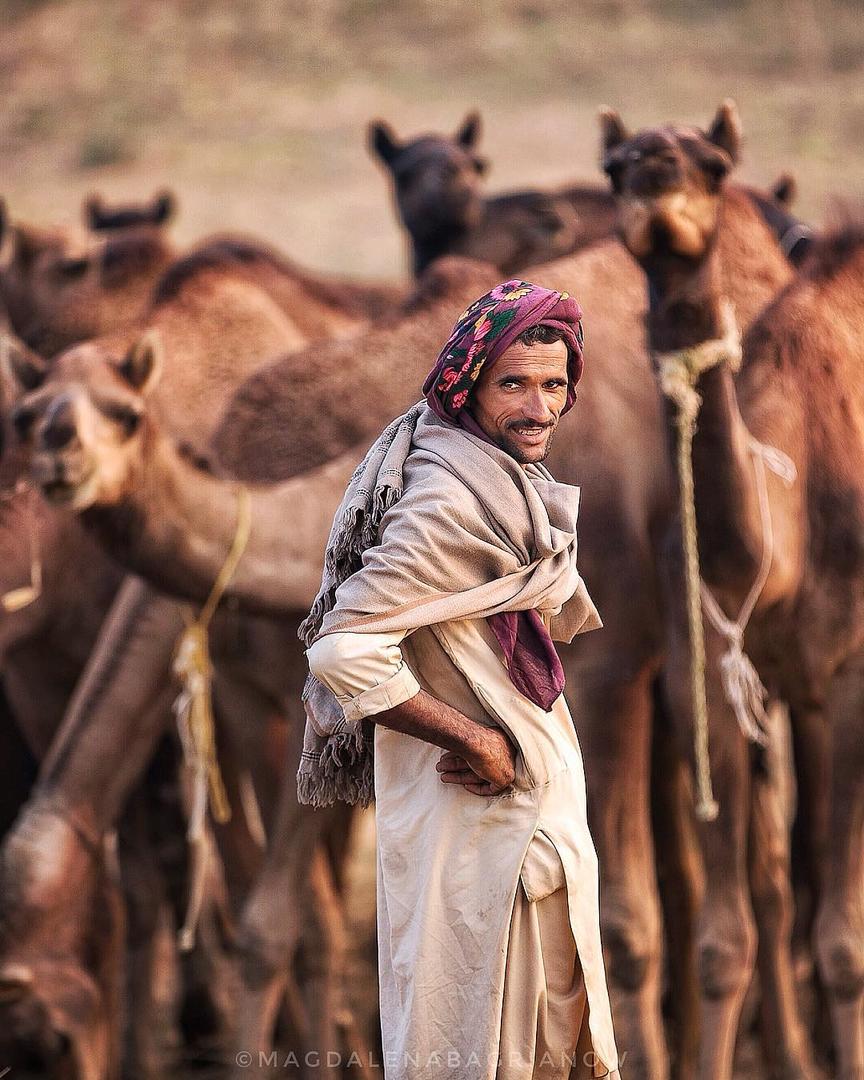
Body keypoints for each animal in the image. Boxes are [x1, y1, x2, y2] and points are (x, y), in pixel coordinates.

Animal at [600, 101, 864, 1080]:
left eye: (711, 164)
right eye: (615, 166)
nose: (656, 181)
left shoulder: (850, 680)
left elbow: (845, 943)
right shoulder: (710, 673)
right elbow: (725, 938)